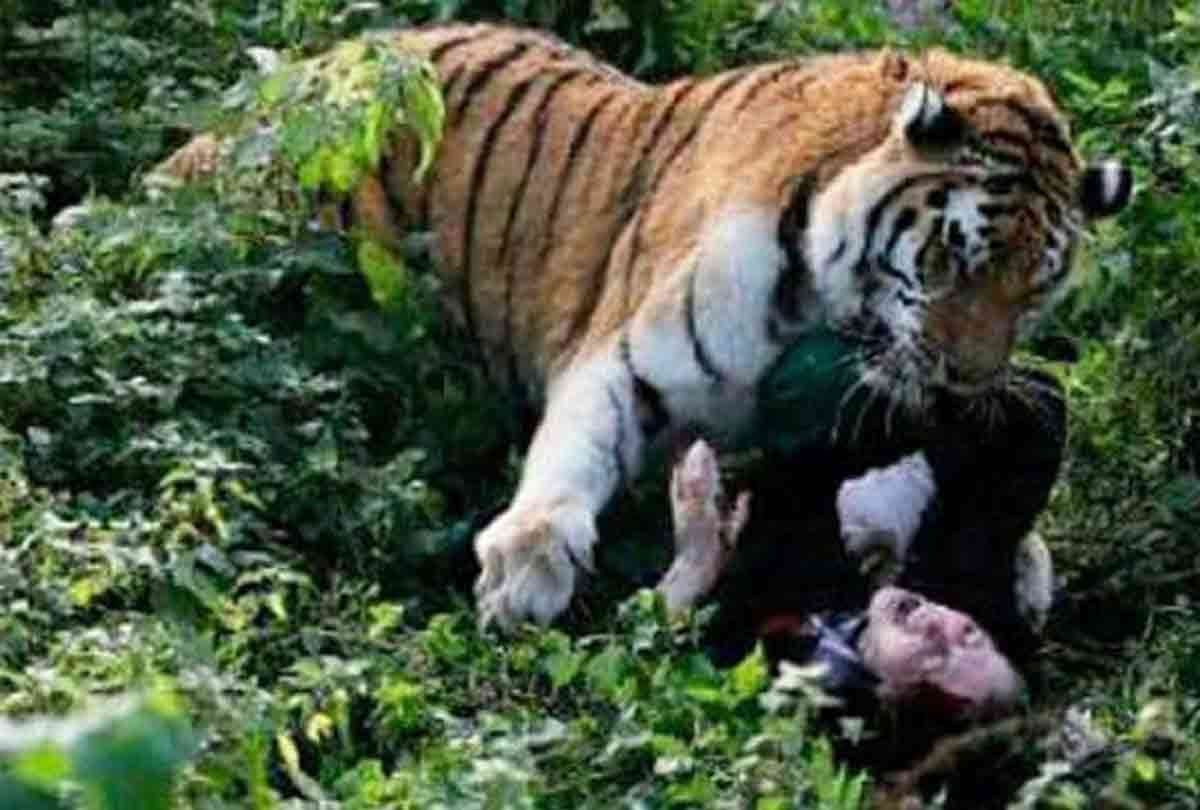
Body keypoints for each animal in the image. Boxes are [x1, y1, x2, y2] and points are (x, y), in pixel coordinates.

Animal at [159, 23, 1132, 630]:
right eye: (952, 262)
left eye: (1033, 291)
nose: (967, 383)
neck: (831, 305)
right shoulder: (629, 355)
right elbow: (576, 449)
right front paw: (527, 565)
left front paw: (1018, 561)